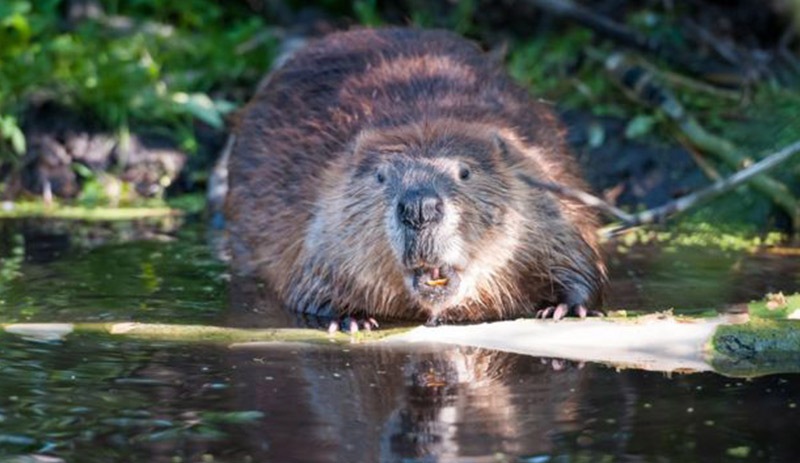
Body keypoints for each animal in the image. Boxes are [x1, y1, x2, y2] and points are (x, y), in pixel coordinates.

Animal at [225, 27, 608, 324]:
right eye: (380, 177)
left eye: (465, 172)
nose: (419, 207)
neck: (425, 123)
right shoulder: (322, 224)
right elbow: (304, 288)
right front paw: (350, 319)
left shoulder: (544, 189)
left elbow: (579, 259)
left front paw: (564, 307)